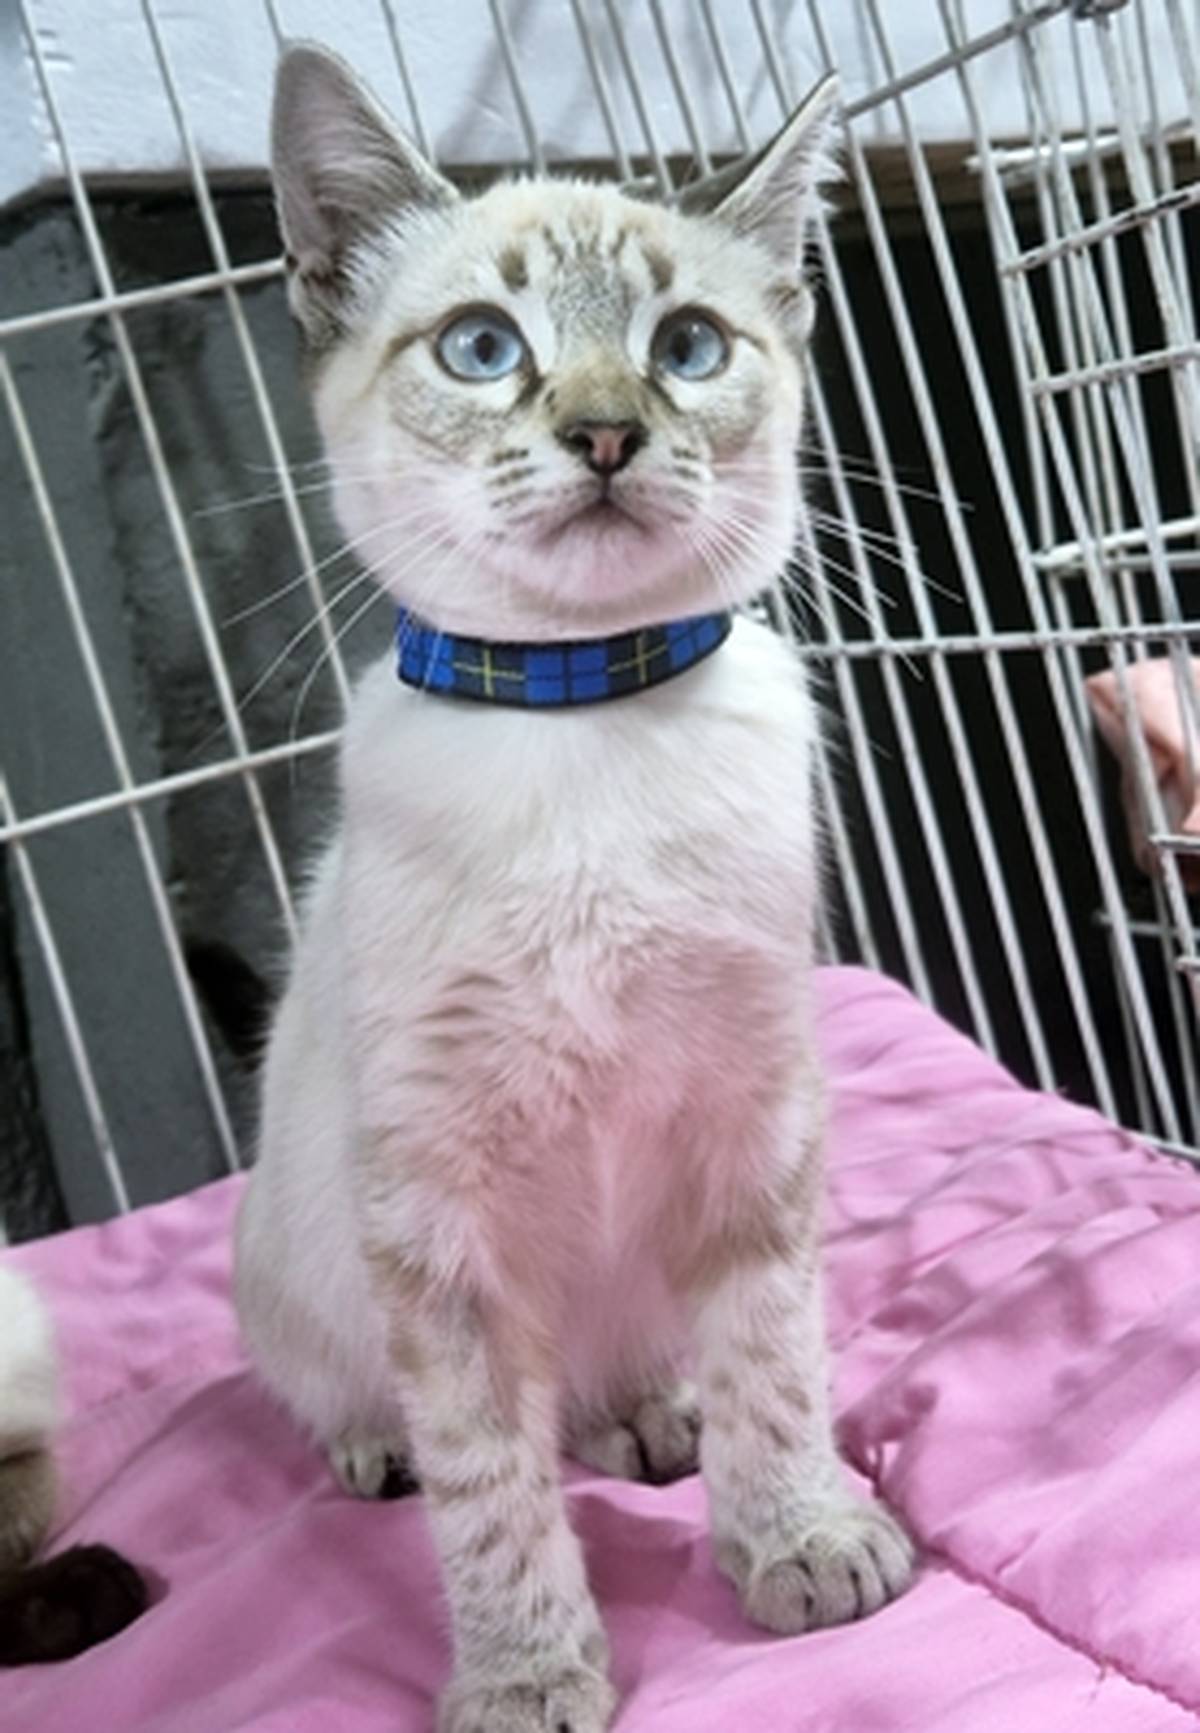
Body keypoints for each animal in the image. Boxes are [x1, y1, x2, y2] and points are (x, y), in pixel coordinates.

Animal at [235, 42, 914, 1733]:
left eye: (687, 348)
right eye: (484, 348)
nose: (606, 431)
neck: (581, 711)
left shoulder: (756, 1109)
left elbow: (773, 1358)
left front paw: (799, 1538)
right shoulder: (437, 1208)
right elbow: (490, 1483)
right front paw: (527, 1672)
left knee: (620, 1384)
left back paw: (646, 1415)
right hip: (298, 1268)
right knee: (361, 1406)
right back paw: (376, 1446)